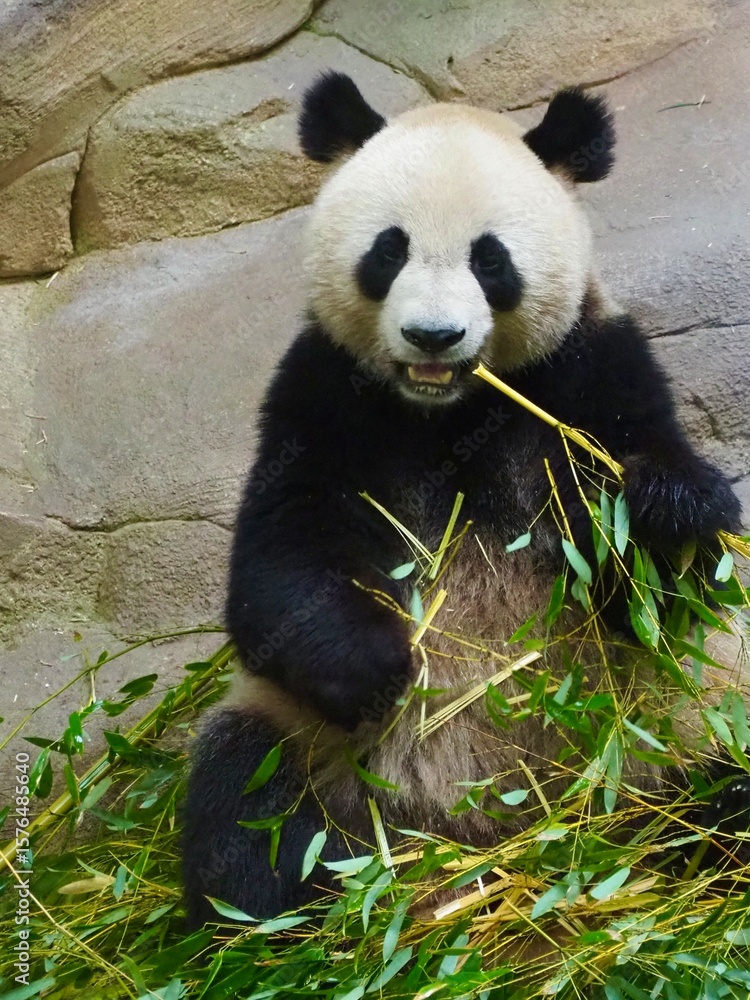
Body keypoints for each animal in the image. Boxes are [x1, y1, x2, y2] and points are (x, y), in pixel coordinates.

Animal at [182, 72, 748, 928]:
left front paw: (667, 510)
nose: (433, 336)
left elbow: (668, 586)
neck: (447, 412)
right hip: (313, 751)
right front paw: (378, 665)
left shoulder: (588, 370)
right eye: (389, 250)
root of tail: (493, 837)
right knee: (245, 808)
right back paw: (288, 915)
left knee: (722, 775)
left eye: (492, 260)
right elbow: (281, 561)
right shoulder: (322, 395)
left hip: (677, 720)